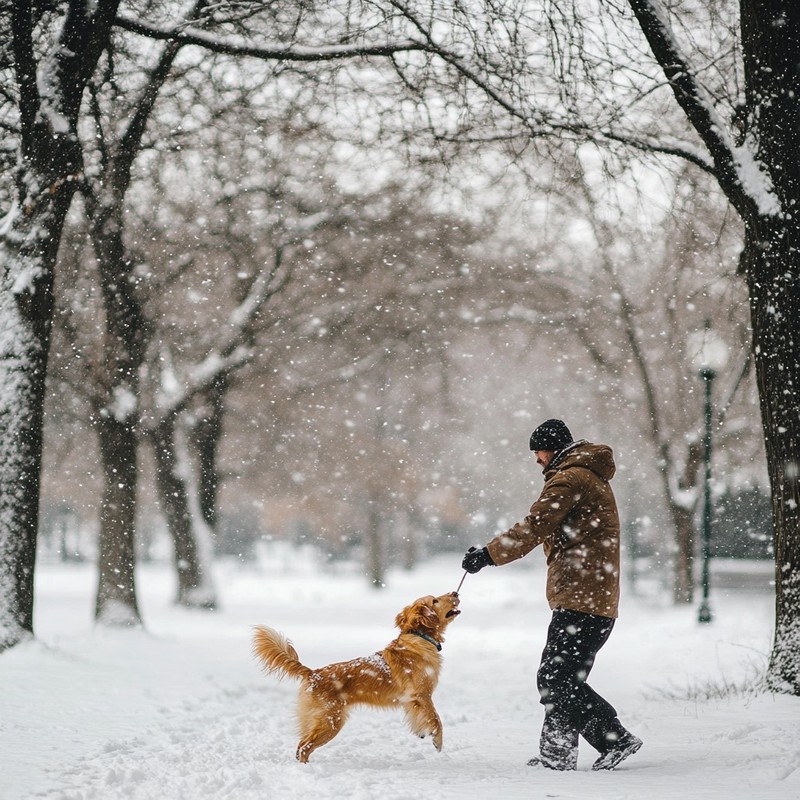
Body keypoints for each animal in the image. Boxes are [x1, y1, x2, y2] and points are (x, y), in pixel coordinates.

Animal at [250, 592, 462, 764]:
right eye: (434, 600)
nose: (455, 592)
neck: (419, 638)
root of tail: (313, 673)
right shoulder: (423, 695)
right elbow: (437, 719)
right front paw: (437, 741)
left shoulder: (411, 701)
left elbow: (420, 718)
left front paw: (422, 732)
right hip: (330, 721)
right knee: (304, 747)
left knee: (300, 745)